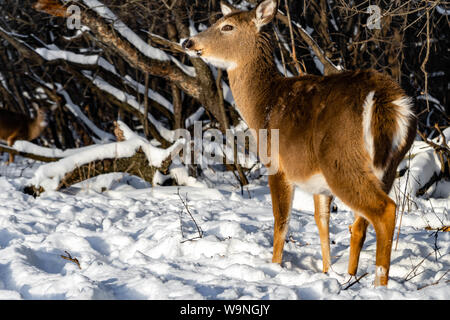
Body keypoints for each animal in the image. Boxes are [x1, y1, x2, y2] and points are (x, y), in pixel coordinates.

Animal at [182, 0, 414, 286]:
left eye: (227, 27)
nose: (188, 42)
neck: (263, 107)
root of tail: (386, 101)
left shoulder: (277, 164)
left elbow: (281, 220)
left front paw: (275, 266)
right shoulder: (318, 183)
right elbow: (322, 222)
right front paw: (327, 271)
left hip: (341, 161)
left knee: (384, 210)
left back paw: (379, 284)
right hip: (385, 167)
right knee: (360, 224)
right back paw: (351, 277)